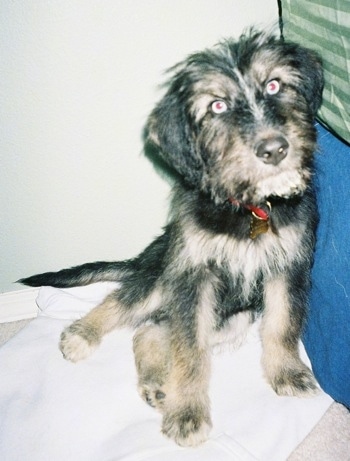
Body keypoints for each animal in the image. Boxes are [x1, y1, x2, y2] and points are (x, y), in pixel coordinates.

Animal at [20, 28, 324, 446]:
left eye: (275, 84)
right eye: (216, 106)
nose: (275, 148)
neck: (246, 207)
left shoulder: (287, 266)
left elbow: (282, 324)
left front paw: (287, 374)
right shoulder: (194, 277)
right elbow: (190, 353)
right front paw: (188, 414)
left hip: (231, 318)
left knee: (150, 330)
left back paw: (155, 384)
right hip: (162, 276)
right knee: (125, 305)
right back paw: (82, 335)